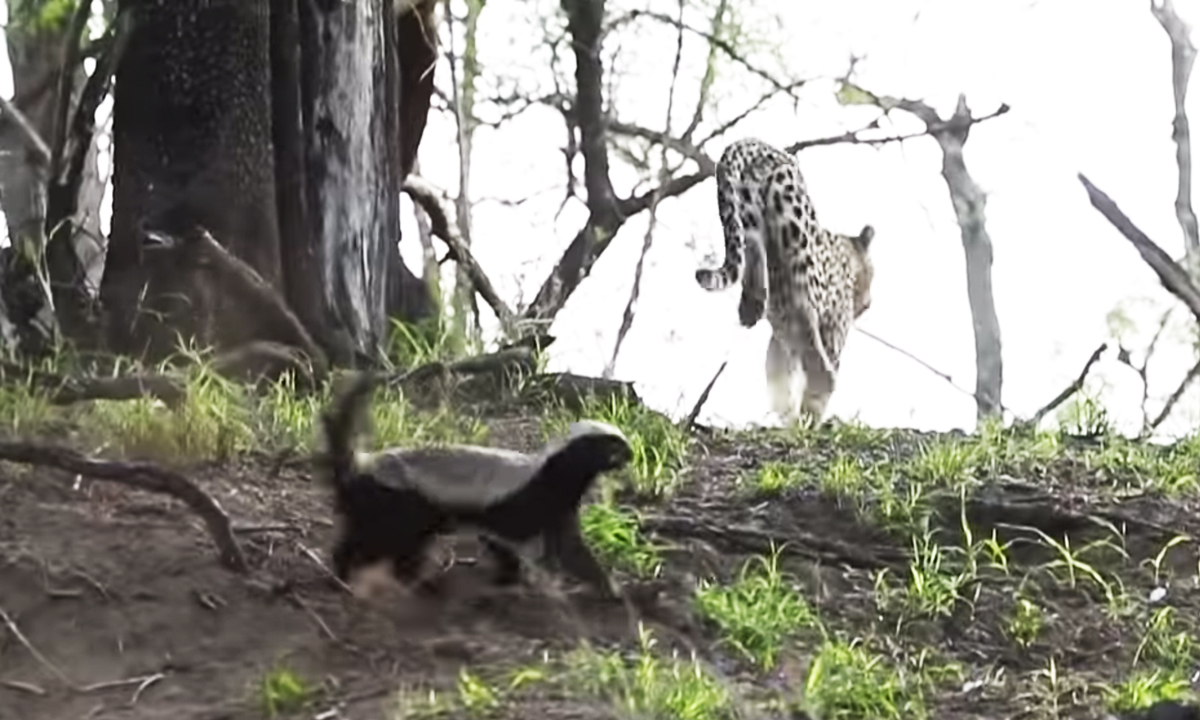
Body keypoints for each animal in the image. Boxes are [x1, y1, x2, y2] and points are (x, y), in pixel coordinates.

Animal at [691, 136, 878, 422]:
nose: (867, 303)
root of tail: (757, 145)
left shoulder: (784, 338)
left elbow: (778, 373)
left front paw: (788, 415)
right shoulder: (832, 327)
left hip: (745, 213)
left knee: (751, 249)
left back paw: (752, 304)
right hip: (797, 233)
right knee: (820, 365)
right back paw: (814, 411)